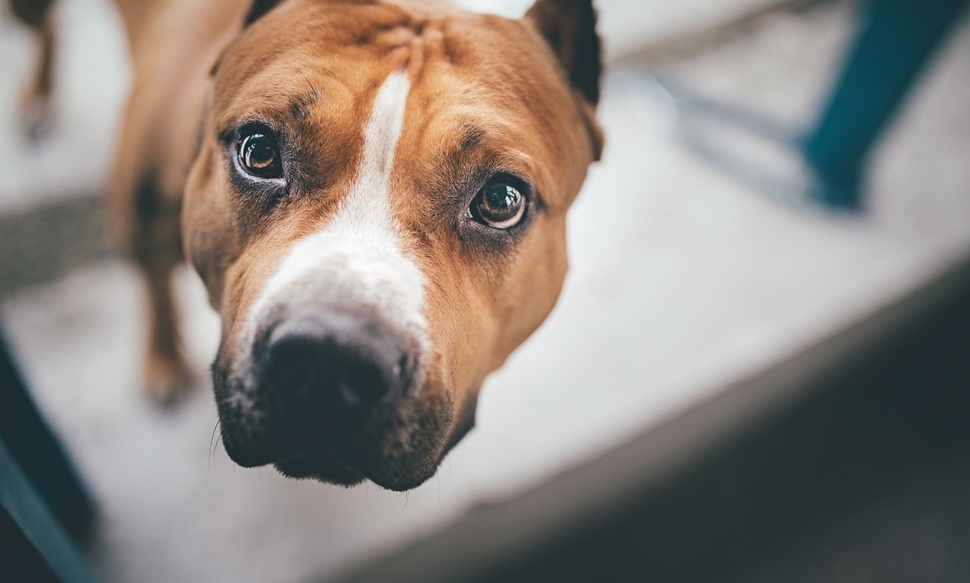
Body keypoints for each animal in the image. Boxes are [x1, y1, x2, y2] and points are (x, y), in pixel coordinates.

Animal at [15, 0, 600, 490]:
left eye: (501, 199)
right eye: (258, 152)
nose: (330, 363)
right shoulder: (137, 220)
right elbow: (154, 285)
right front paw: (162, 358)